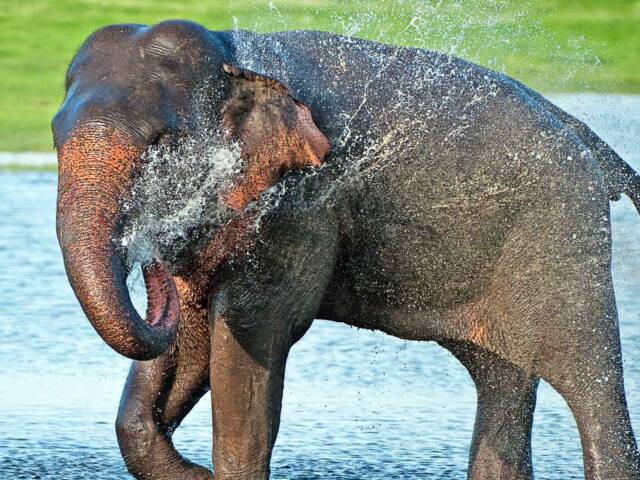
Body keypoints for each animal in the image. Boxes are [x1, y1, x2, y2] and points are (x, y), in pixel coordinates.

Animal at [52, 19, 640, 480]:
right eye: (55, 137)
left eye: (160, 143)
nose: (151, 265)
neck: (235, 56)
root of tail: (582, 133)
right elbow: (188, 343)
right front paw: (191, 472)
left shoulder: (300, 204)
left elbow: (251, 334)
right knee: (503, 381)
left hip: (561, 240)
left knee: (590, 387)